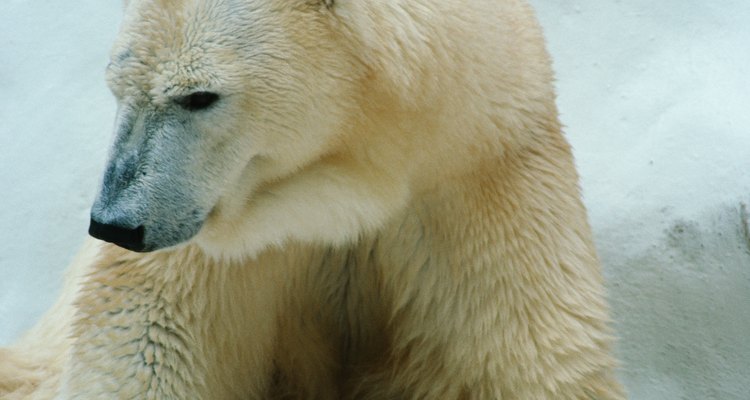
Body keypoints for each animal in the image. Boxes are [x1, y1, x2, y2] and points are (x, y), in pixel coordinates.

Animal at [0, 0, 624, 398]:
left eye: (199, 96)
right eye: (116, 86)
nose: (116, 225)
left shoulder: (472, 185)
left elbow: (519, 363)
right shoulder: (217, 250)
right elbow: (149, 346)